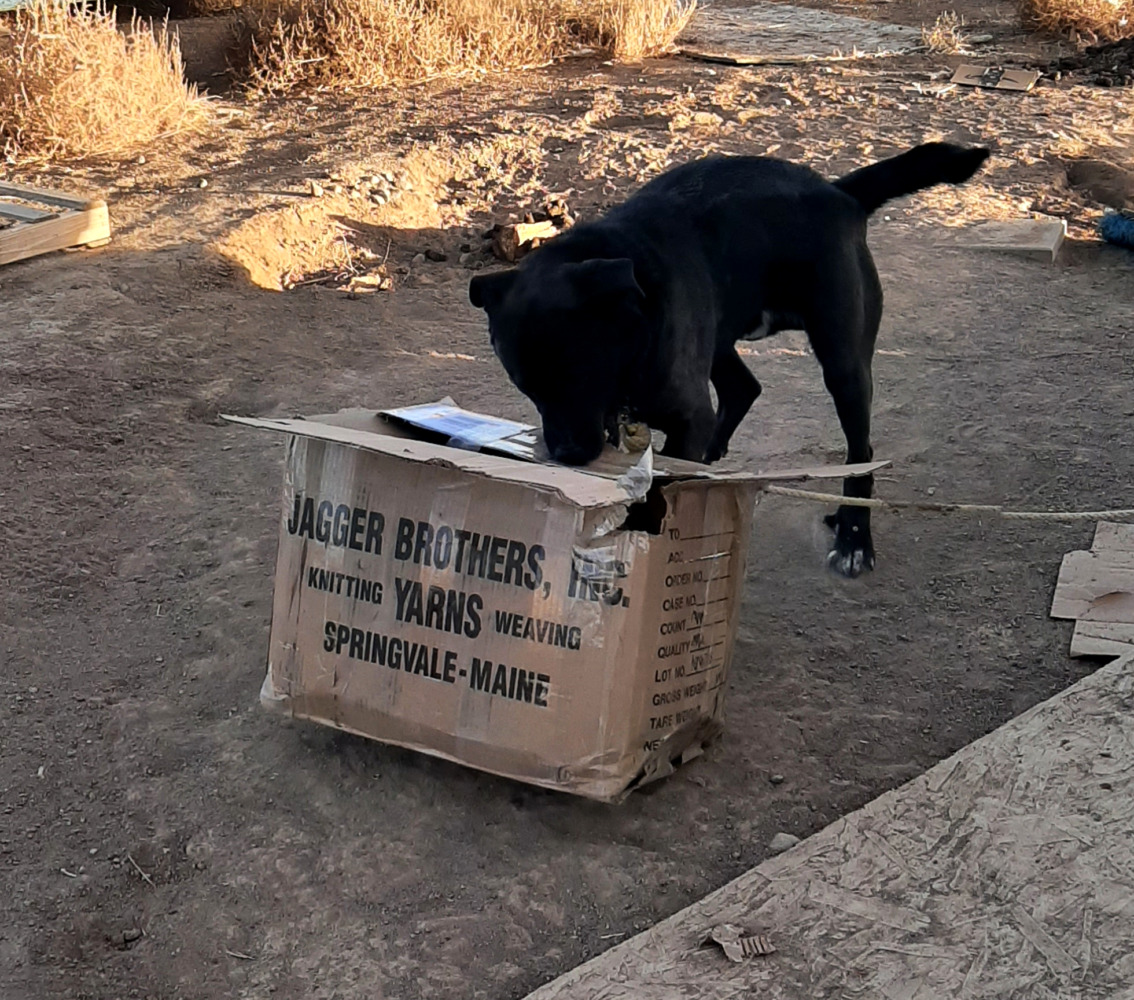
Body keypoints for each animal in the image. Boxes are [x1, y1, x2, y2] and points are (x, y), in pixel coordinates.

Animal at [467, 142, 984, 575]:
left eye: (581, 374)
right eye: (526, 386)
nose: (567, 455)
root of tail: (839, 191)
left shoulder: (683, 416)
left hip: (843, 362)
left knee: (860, 452)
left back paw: (855, 536)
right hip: (719, 338)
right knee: (743, 388)